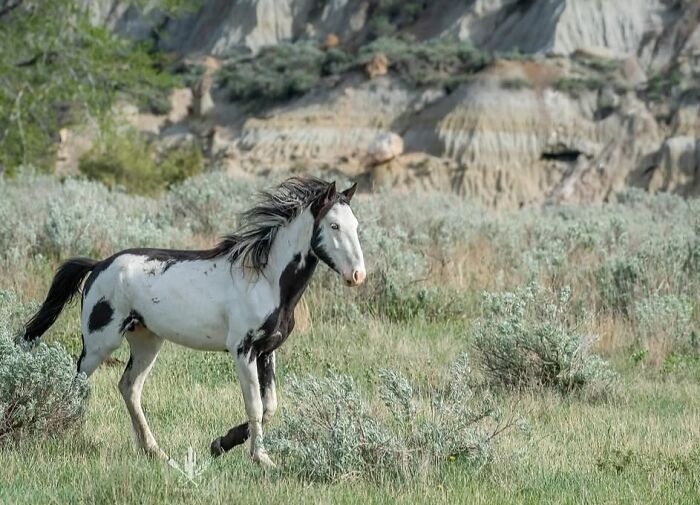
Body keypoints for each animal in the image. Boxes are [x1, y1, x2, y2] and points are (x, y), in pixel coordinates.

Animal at [23, 177, 365, 467]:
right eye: (334, 225)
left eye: (356, 226)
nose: (358, 275)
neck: (266, 280)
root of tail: (98, 266)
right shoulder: (243, 350)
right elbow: (255, 405)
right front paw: (260, 459)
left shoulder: (268, 351)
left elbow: (269, 406)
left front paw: (220, 444)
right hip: (99, 343)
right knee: (77, 383)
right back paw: (66, 430)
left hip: (146, 341)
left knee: (129, 388)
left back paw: (155, 452)